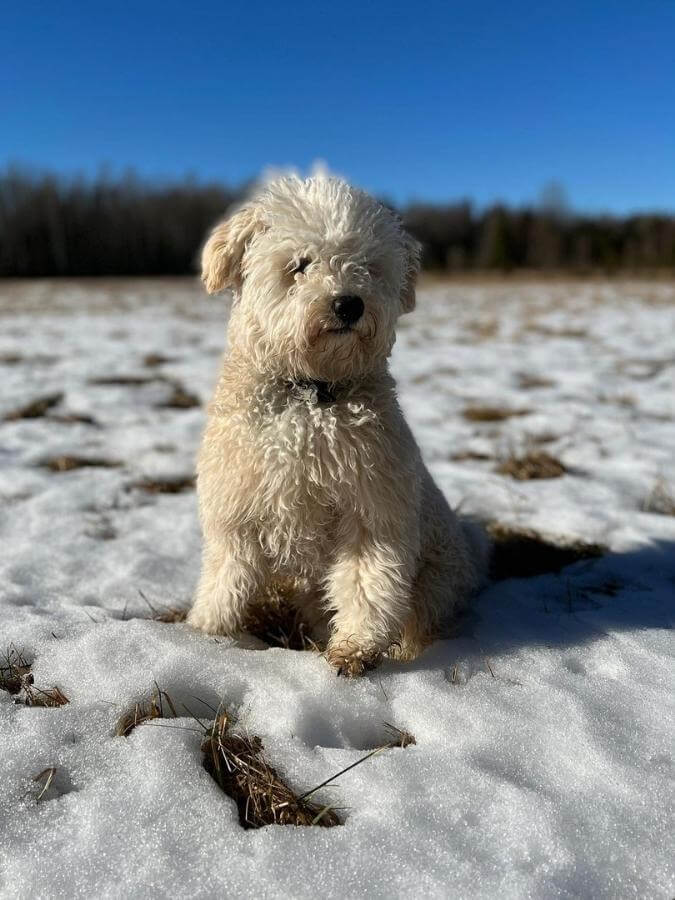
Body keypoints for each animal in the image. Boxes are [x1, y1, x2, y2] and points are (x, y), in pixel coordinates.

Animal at [189, 174, 486, 676]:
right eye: (300, 264)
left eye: (368, 266)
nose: (349, 304)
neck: (312, 398)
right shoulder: (236, 510)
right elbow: (225, 579)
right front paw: (204, 632)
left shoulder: (372, 506)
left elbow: (367, 582)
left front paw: (354, 647)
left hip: (436, 580)